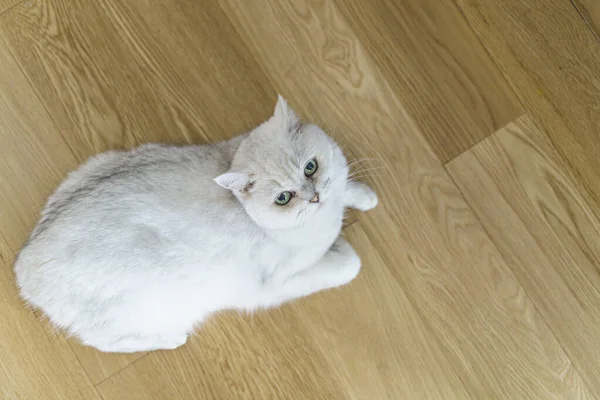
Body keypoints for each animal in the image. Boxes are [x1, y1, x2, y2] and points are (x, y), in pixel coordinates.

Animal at [14, 97, 378, 354]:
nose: (314, 197)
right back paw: (170, 339)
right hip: (150, 309)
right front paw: (340, 246)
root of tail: (23, 265)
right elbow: (350, 265)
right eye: (284, 198)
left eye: (310, 167)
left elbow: (345, 186)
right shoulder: (270, 286)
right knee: (105, 342)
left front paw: (363, 197)